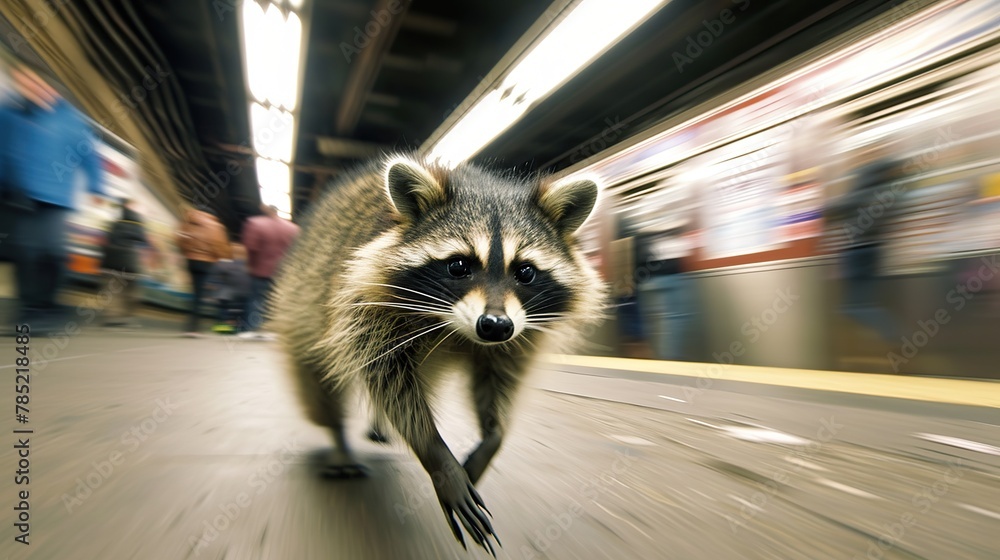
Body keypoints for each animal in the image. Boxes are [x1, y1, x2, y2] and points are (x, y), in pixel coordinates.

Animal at [269, 155, 606, 552]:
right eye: (459, 265)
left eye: (525, 271)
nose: (495, 325)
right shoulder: (364, 309)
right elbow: (391, 383)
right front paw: (436, 453)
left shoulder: (516, 337)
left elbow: (497, 384)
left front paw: (491, 438)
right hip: (305, 299)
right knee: (318, 379)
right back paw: (338, 437)